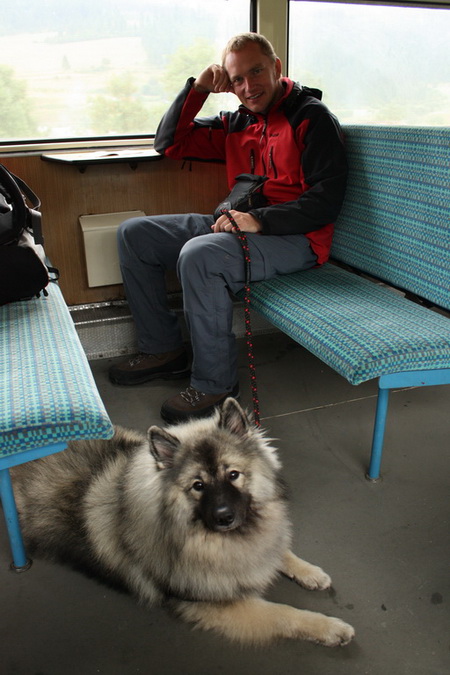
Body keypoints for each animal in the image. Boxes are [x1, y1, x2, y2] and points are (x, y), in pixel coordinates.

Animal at [11, 398, 356, 648]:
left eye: (233, 474)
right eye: (197, 485)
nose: (224, 517)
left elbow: (279, 550)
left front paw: (309, 572)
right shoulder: (214, 602)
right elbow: (283, 613)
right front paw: (329, 627)